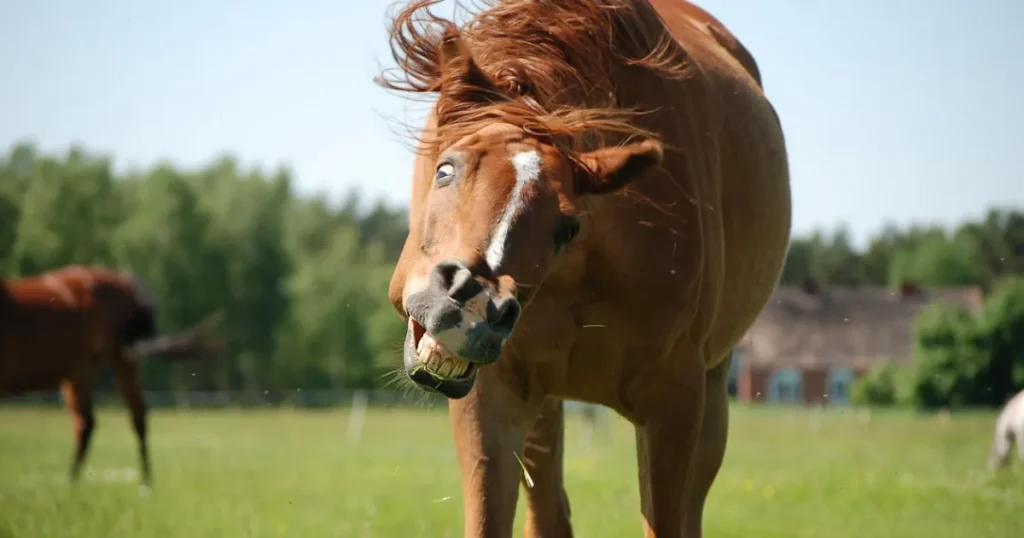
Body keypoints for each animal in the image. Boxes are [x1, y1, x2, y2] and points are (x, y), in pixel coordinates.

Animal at [0, 264, 223, 485]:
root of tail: (124, 281)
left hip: (118, 358)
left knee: (133, 415)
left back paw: (142, 483)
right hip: (82, 370)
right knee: (87, 422)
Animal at [380, 1, 786, 536]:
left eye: (566, 227)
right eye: (445, 170)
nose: (469, 305)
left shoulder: (674, 404)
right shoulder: (491, 398)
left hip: (712, 397)